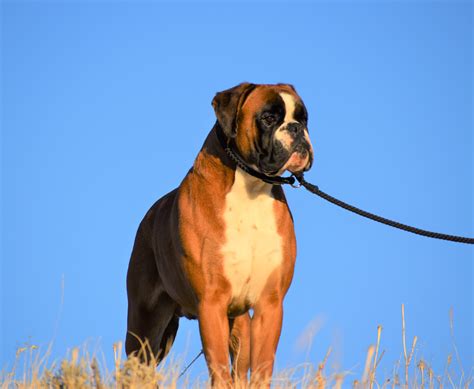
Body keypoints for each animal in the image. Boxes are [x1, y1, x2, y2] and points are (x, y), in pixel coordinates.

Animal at [125, 82, 314, 384]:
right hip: (145, 326)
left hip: (240, 326)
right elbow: (220, 370)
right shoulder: (211, 304)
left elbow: (261, 368)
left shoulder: (269, 305)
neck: (252, 187)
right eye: (268, 118)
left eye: (304, 118)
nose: (297, 129)